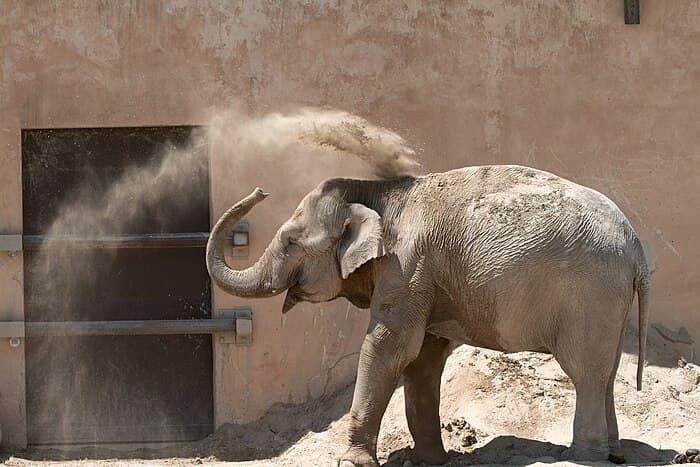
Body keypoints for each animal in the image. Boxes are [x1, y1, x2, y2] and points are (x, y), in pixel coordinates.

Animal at [206, 166, 652, 466]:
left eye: (290, 242)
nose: (261, 189)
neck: (377, 192)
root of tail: (637, 248)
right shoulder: (426, 277)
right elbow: (423, 357)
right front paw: (428, 460)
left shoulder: (406, 266)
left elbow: (390, 348)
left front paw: (351, 462)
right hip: (609, 300)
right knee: (607, 371)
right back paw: (612, 452)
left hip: (590, 295)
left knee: (585, 372)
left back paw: (582, 457)